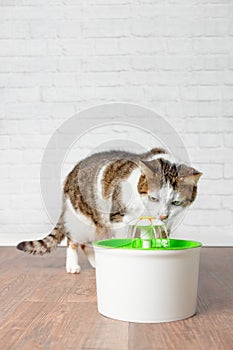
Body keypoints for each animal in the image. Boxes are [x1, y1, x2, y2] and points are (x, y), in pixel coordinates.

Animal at [17, 148, 201, 274]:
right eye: (153, 198)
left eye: (175, 202)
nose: (162, 215)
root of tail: (72, 172)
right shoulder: (119, 218)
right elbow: (124, 240)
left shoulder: (158, 225)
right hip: (82, 219)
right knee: (73, 241)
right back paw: (73, 265)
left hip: (97, 224)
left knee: (88, 243)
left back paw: (97, 263)